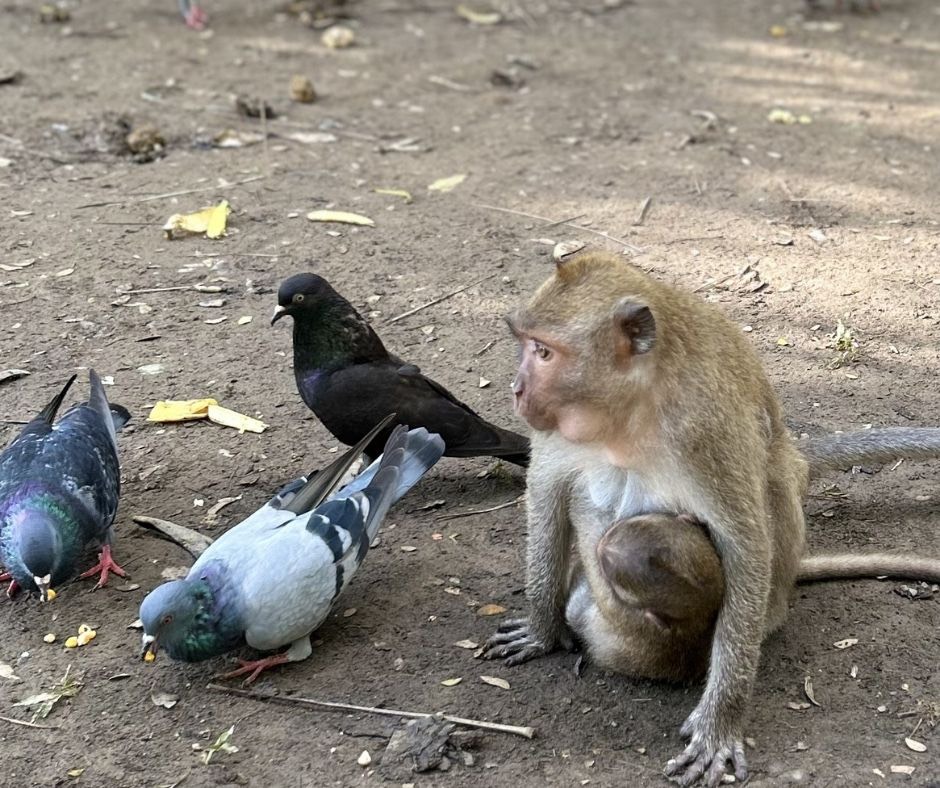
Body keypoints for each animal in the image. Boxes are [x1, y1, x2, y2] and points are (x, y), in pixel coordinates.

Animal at [479, 251, 940, 787]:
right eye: (525, 345)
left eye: (545, 352)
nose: (517, 389)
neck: (630, 410)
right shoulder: (556, 426)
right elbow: (546, 493)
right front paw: (540, 627)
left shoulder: (704, 428)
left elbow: (745, 544)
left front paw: (720, 724)